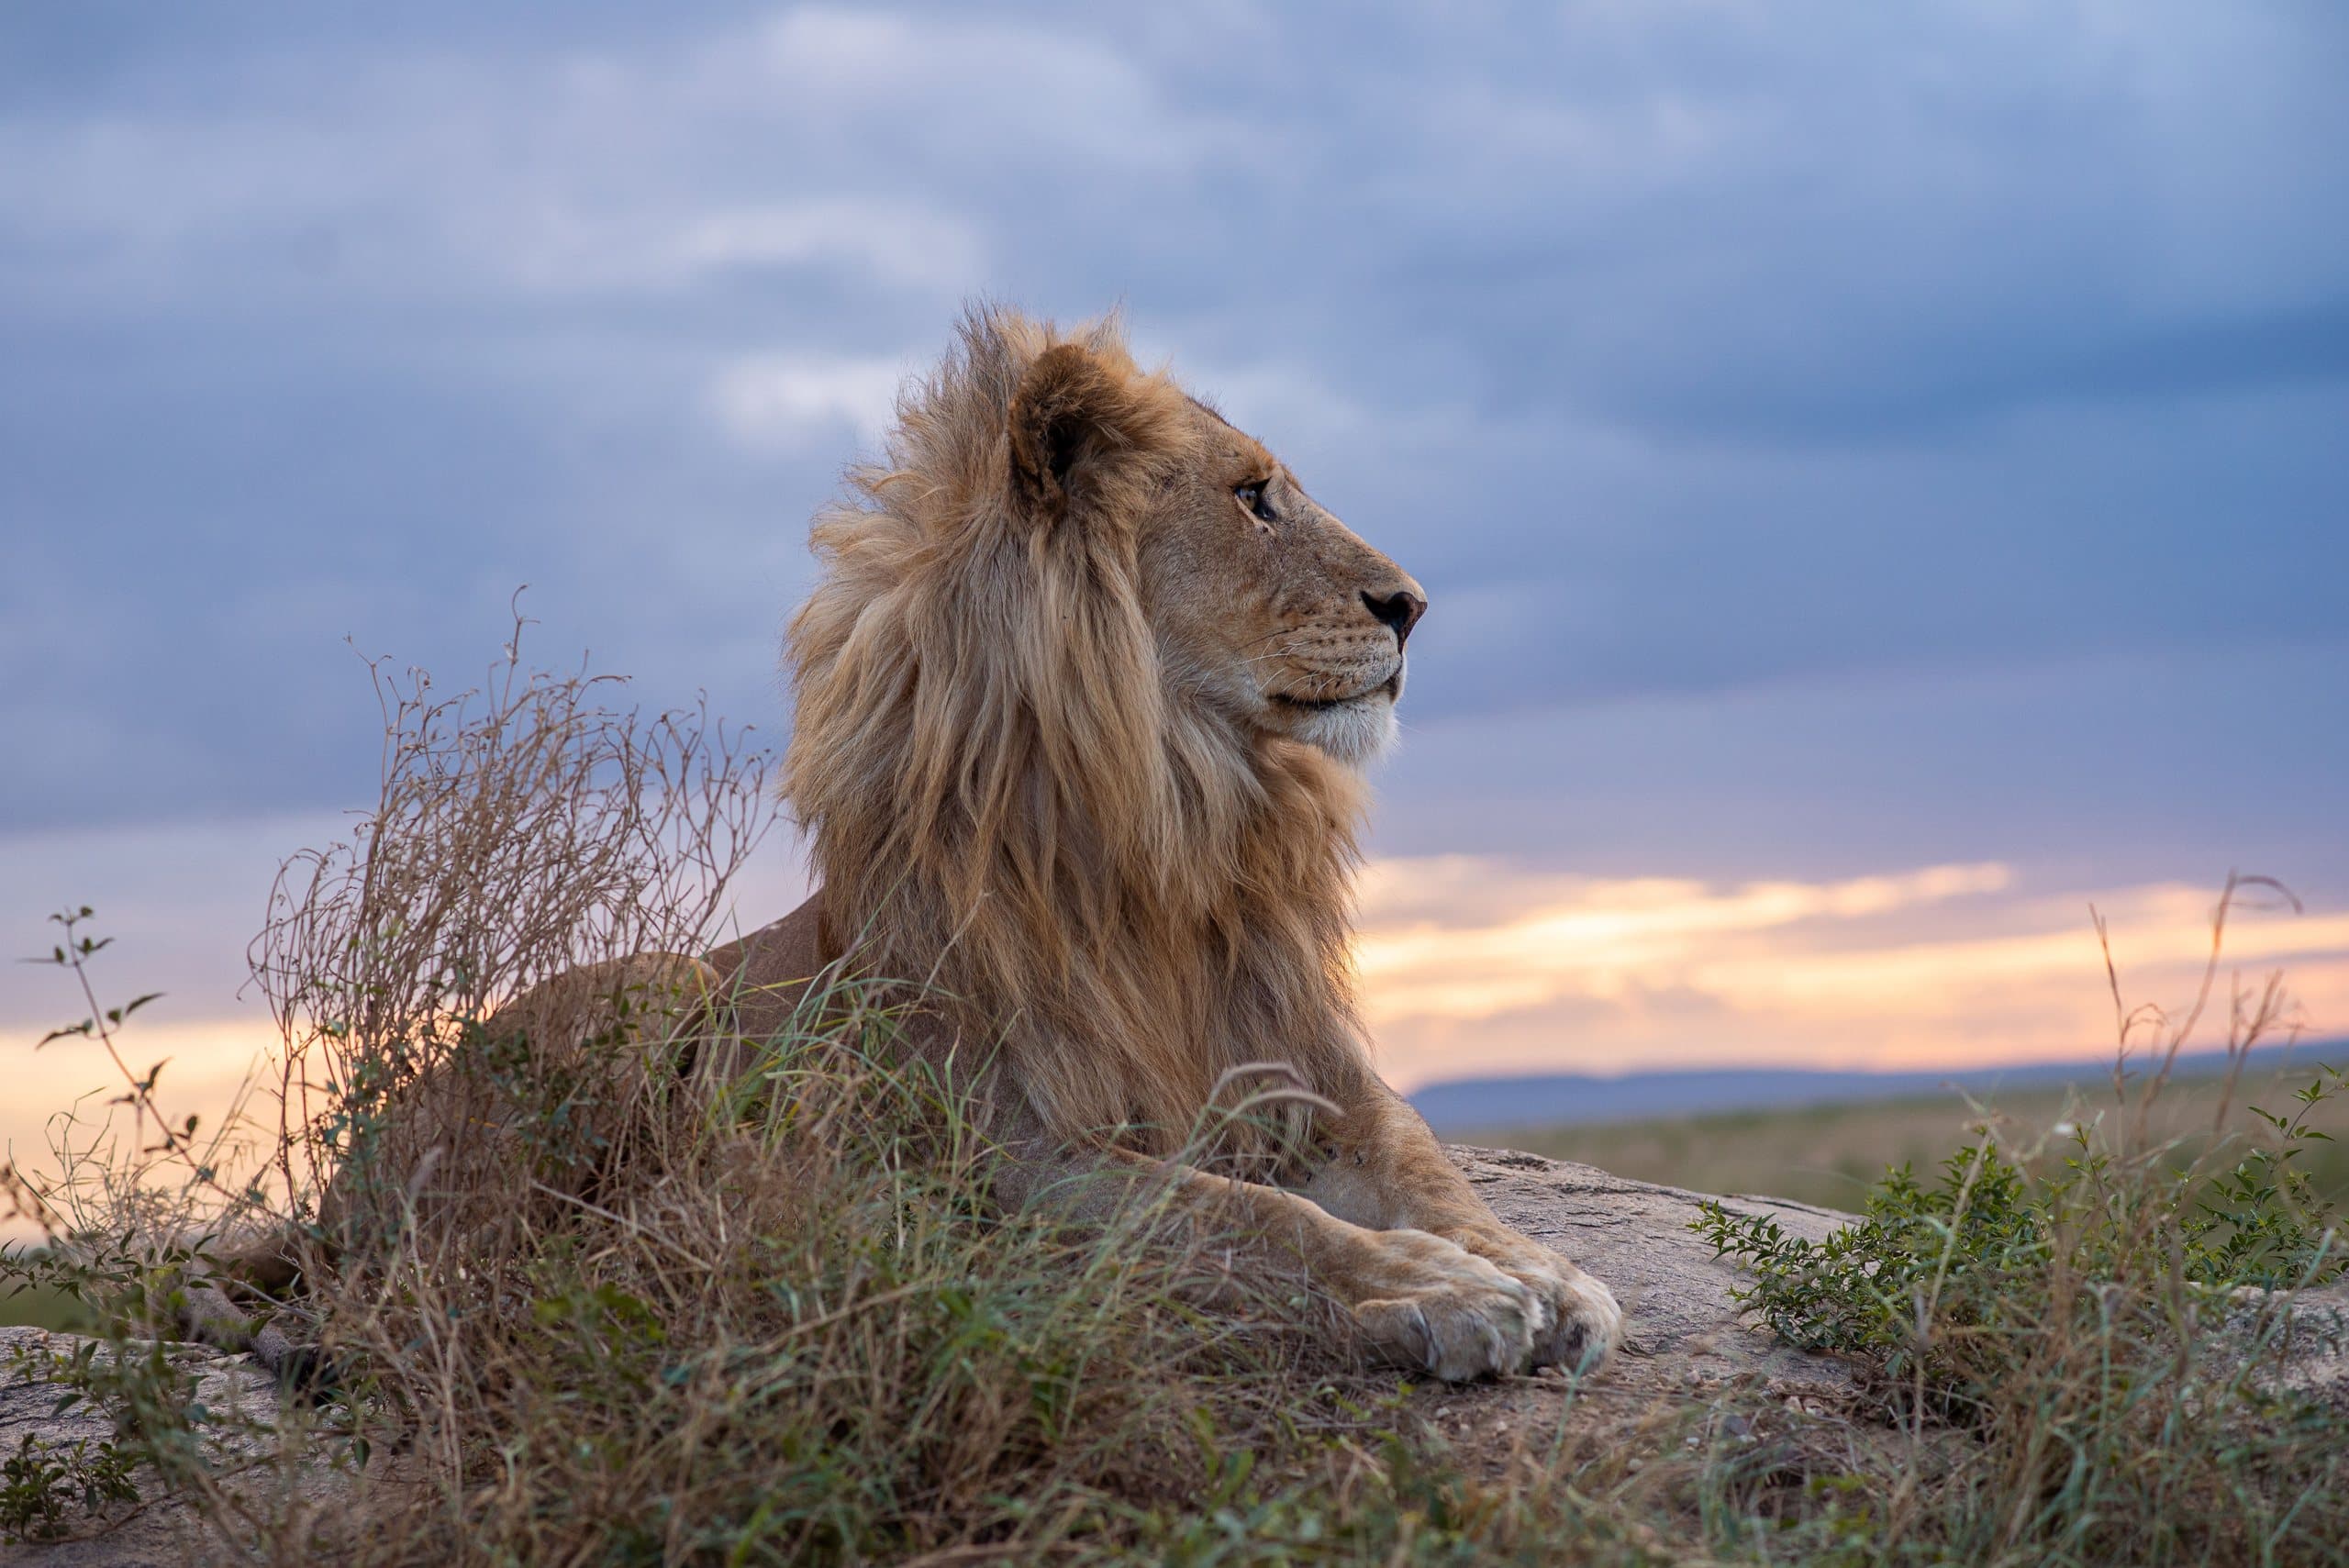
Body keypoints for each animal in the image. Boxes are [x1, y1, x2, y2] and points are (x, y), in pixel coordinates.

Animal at [187, 308, 1621, 1385]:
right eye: (1253, 498)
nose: (1412, 605)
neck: (1179, 820)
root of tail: (338, 1194)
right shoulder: (1011, 1158)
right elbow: (1239, 1211)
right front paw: (1441, 1292)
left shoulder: (1303, 1069)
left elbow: (1426, 1167)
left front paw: (1546, 1274)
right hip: (645, 995)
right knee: (432, 1282)